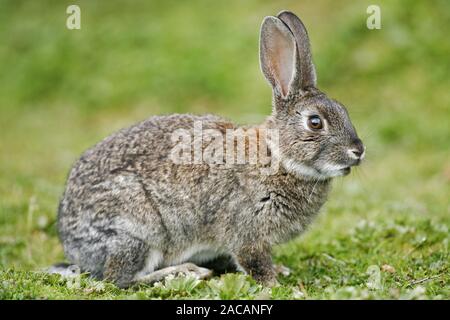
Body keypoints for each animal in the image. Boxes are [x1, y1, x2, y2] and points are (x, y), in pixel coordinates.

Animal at [55, 11, 366, 288]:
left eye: (344, 110)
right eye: (315, 122)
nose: (358, 151)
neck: (277, 156)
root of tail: (71, 242)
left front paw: (281, 271)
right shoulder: (247, 231)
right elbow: (253, 261)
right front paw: (276, 284)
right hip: (137, 231)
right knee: (119, 279)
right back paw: (187, 272)